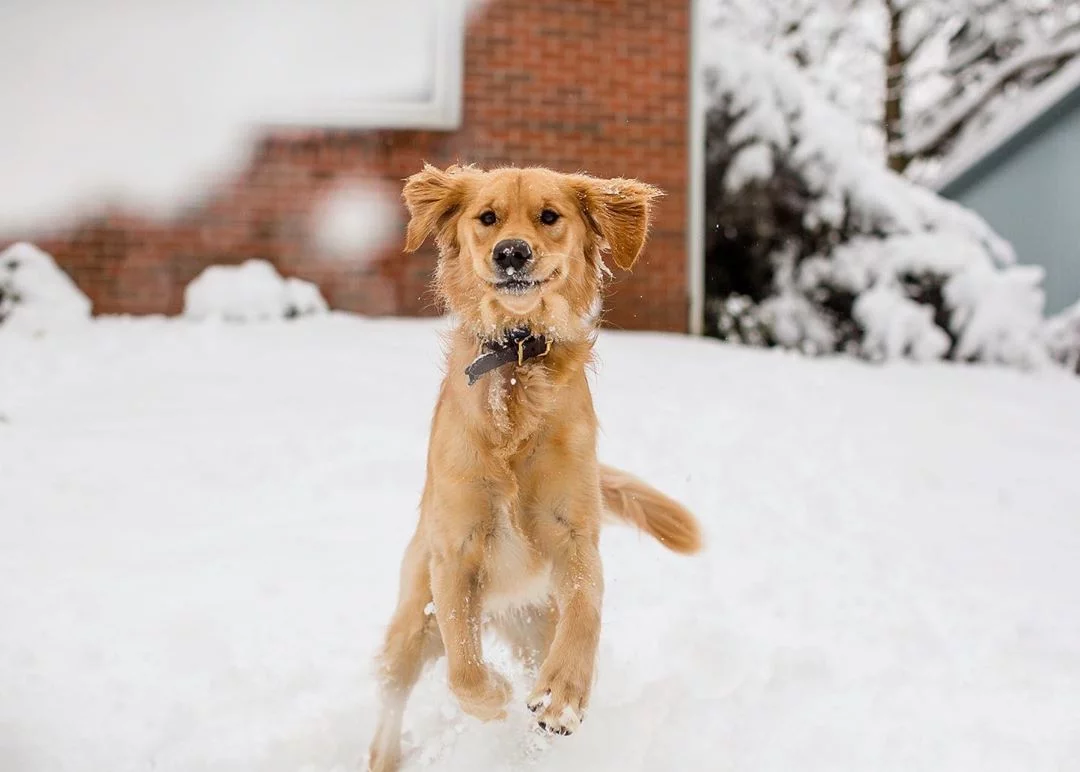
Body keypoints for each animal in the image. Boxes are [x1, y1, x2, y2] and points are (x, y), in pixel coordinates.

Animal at [367, 164, 704, 772]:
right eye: (487, 217)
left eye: (550, 216)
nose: (512, 253)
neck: (518, 359)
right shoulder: (454, 552)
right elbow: (465, 670)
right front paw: (496, 697)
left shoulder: (575, 535)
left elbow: (585, 613)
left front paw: (561, 698)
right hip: (411, 619)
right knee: (393, 696)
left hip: (531, 622)